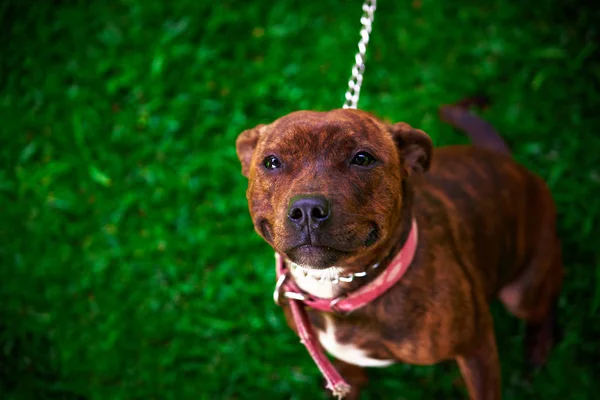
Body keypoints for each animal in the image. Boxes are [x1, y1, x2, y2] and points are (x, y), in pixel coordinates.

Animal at [236, 101, 564, 400]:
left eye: (362, 158)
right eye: (272, 162)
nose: (307, 209)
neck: (341, 286)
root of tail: (507, 162)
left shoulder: (477, 346)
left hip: (521, 291)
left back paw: (539, 346)